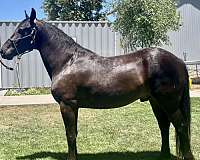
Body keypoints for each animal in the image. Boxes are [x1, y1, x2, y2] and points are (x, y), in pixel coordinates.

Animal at [0, 8, 194, 160]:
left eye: (23, 30)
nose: (3, 51)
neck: (67, 62)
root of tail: (177, 60)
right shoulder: (73, 106)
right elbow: (74, 133)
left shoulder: (67, 104)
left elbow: (70, 134)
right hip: (156, 102)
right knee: (164, 126)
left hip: (169, 102)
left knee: (181, 126)